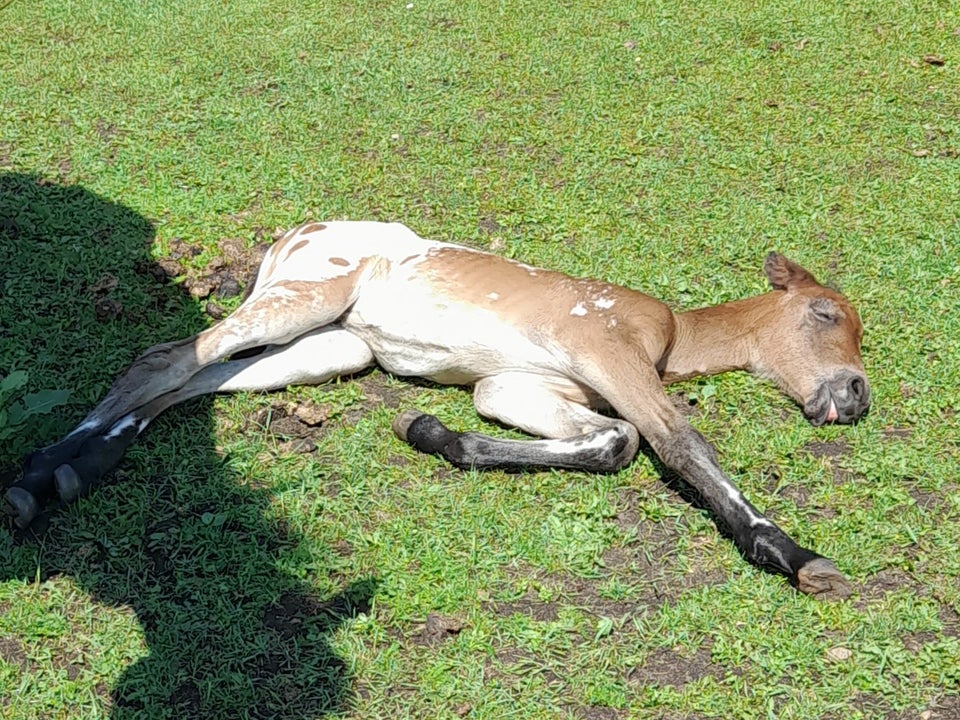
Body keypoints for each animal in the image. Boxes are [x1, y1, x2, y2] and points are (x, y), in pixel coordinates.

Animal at [3, 222, 872, 600]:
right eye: (826, 313)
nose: (855, 394)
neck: (670, 336)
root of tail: (290, 237)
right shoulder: (606, 348)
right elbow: (678, 442)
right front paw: (793, 554)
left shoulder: (520, 388)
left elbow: (614, 443)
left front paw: (428, 431)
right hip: (306, 296)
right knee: (162, 358)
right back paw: (40, 478)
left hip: (334, 347)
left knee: (193, 379)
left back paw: (60, 475)